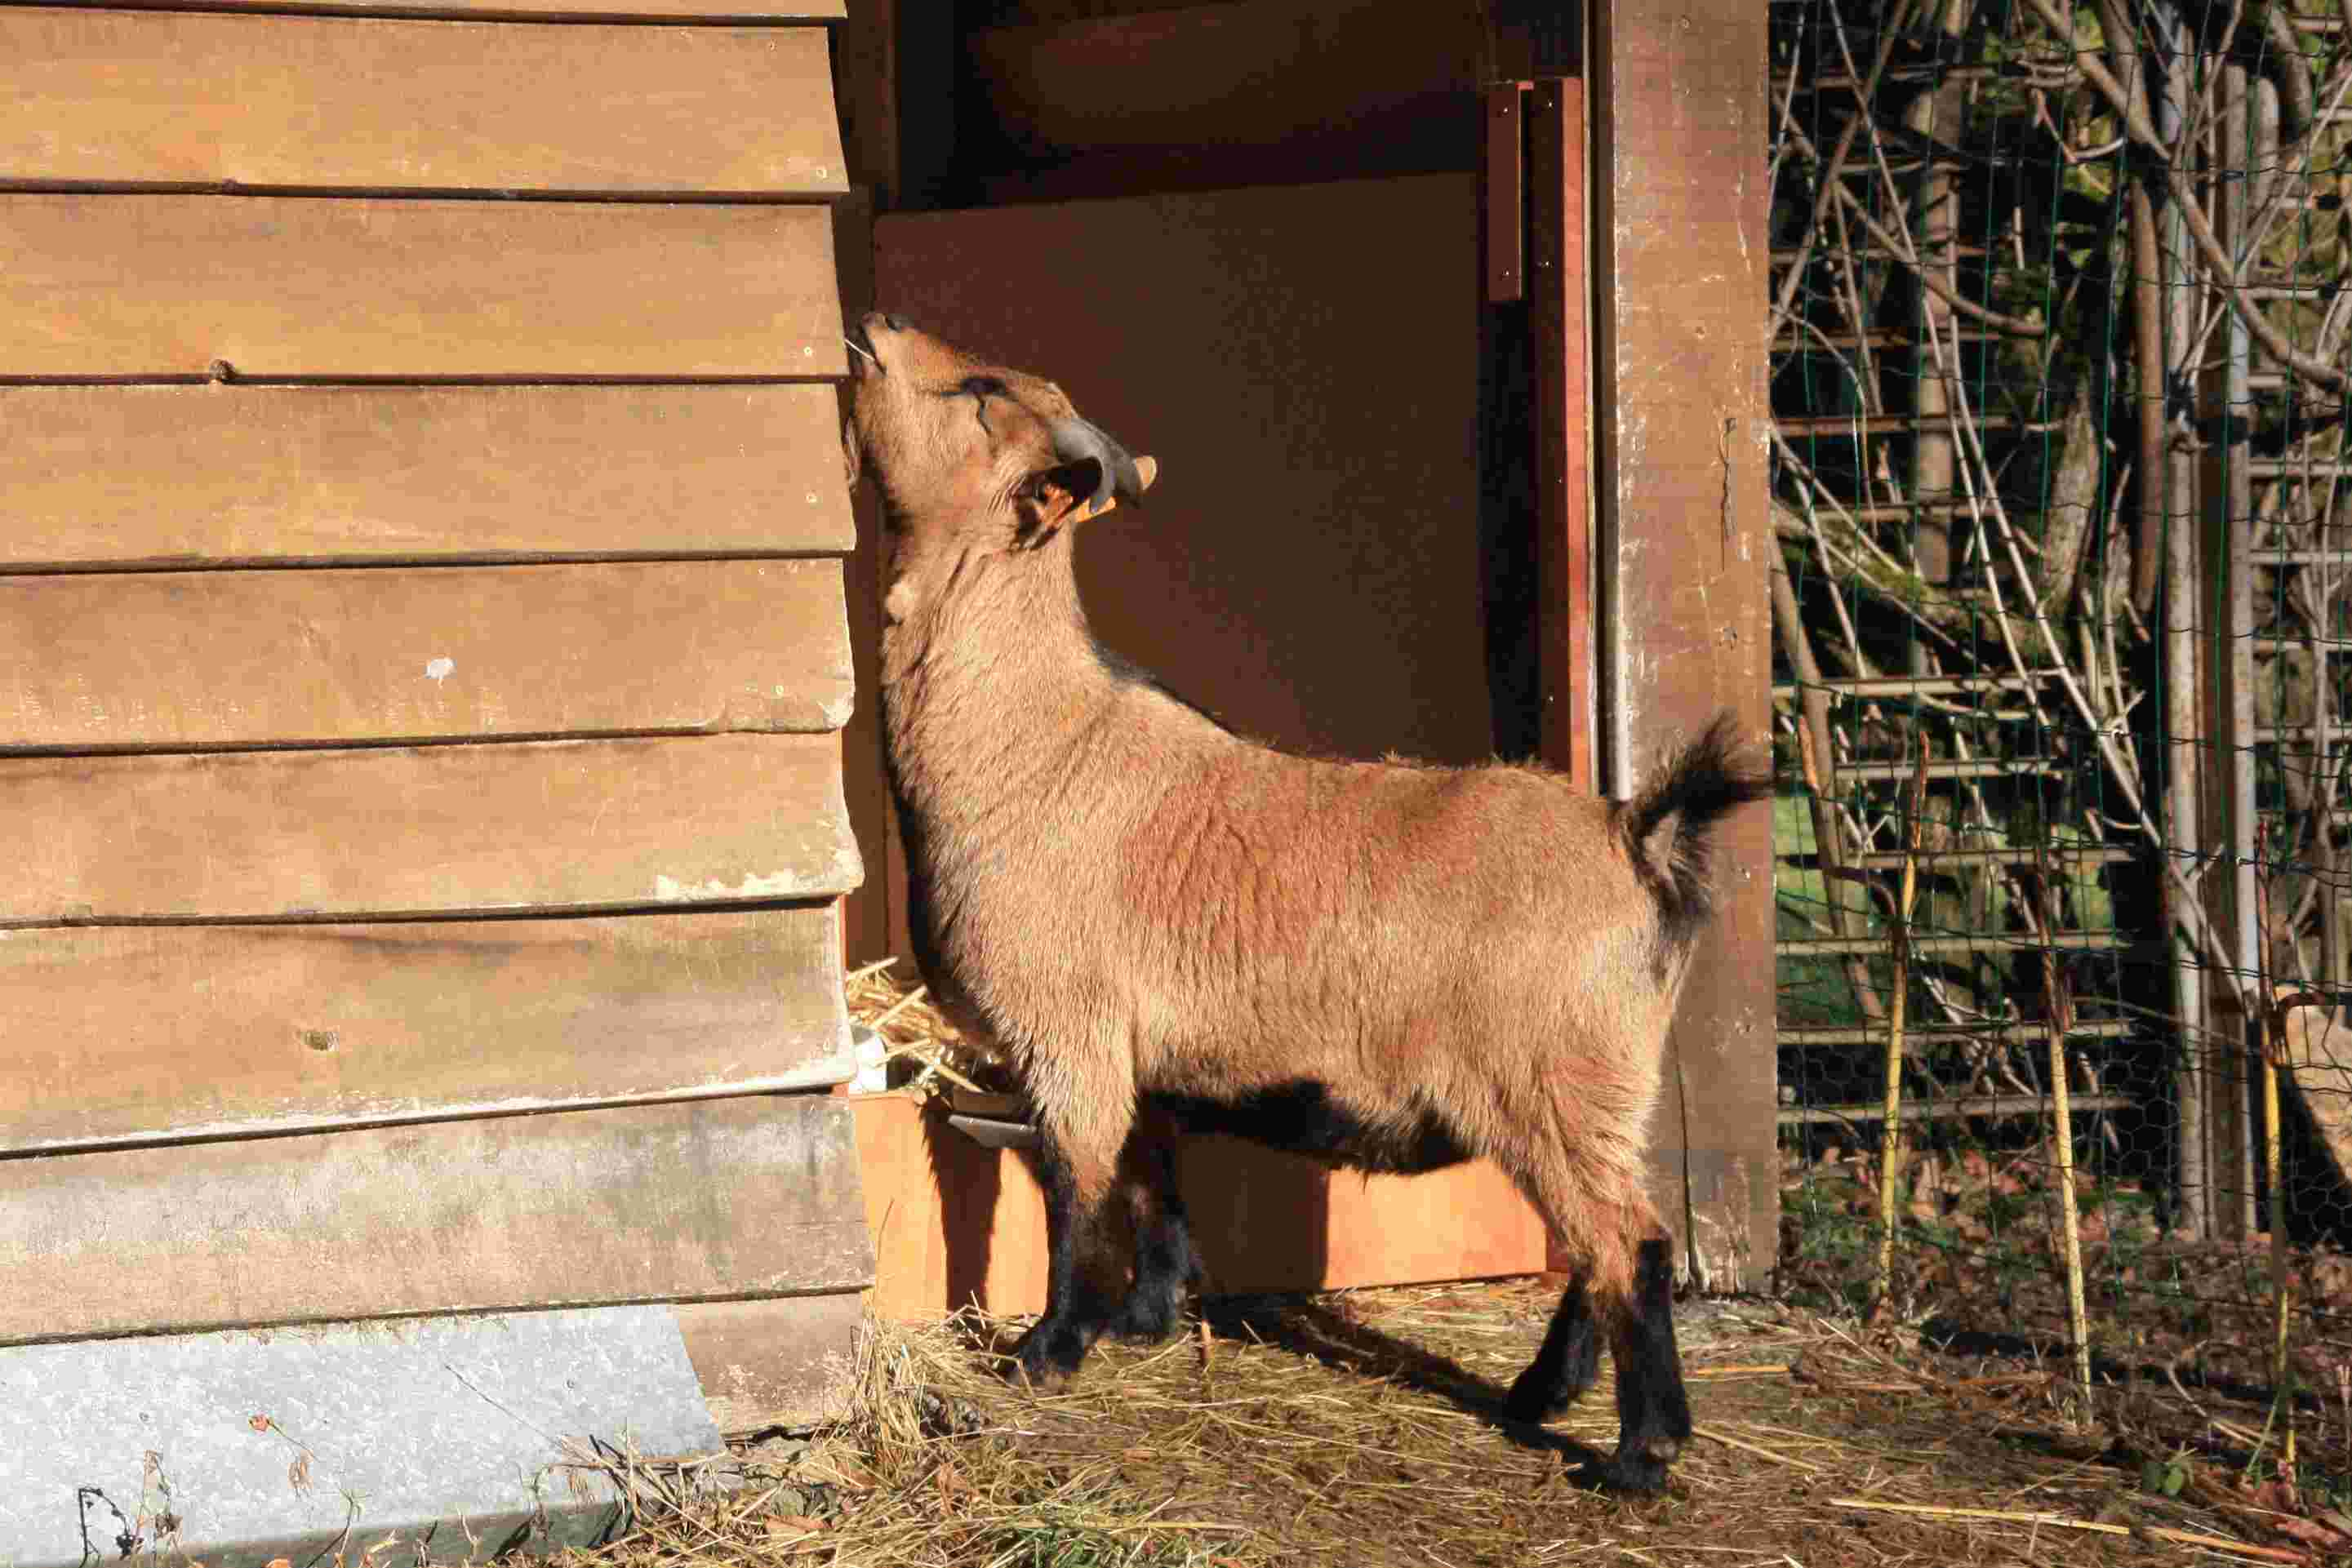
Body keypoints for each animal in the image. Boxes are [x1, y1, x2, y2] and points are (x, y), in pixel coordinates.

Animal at [842, 310, 1768, 1495]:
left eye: (980, 392)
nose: (874, 326)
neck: (1036, 743)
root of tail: (1635, 835)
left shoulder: (1068, 1034)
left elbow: (1075, 1193)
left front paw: (1049, 1349)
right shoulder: (1143, 1052)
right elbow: (1152, 1180)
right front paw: (1147, 1319)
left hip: (1551, 1077)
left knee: (1629, 1245)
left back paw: (1638, 1454)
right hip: (1603, 1086)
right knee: (1599, 1242)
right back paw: (1537, 1396)